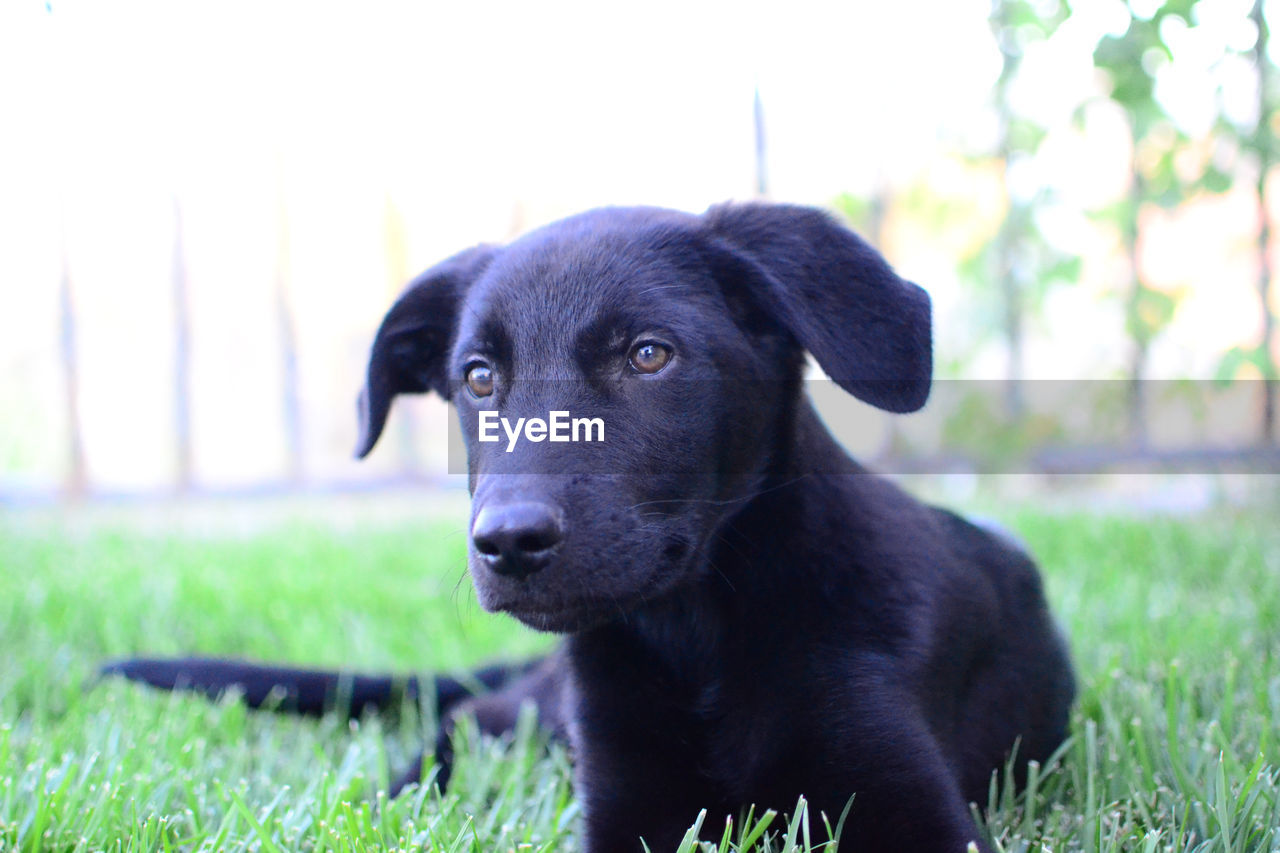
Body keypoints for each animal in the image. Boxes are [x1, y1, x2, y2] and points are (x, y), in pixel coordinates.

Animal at [104, 204, 1075, 850]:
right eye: (479, 377)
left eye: (649, 355)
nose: (507, 542)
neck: (697, 637)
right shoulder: (620, 795)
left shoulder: (904, 795)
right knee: (464, 715)